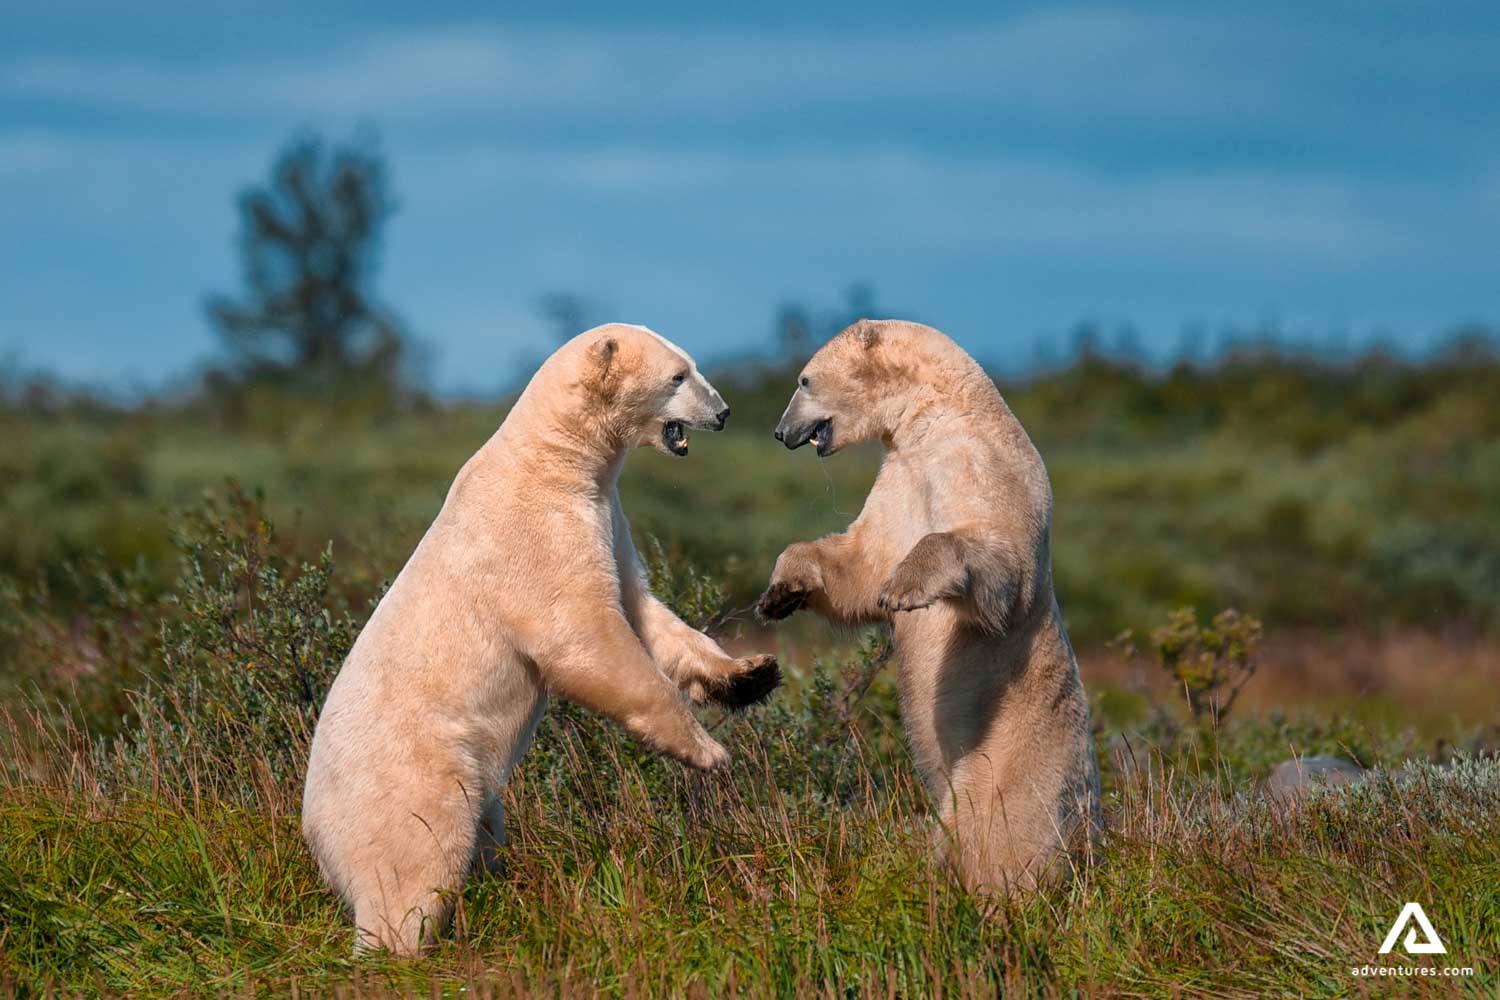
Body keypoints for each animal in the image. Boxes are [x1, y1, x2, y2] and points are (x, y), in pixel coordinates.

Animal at [302, 323, 781, 955]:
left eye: (694, 365)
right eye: (679, 375)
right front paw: (708, 751)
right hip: (413, 773)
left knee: (482, 833)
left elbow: (646, 612)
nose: (723, 412)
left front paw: (752, 674)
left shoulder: (607, 517)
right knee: (413, 864)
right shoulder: (537, 532)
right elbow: (586, 638)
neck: (553, 458)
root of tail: (315, 832)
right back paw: (405, 948)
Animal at [756, 319, 1100, 894]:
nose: (782, 433)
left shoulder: (982, 464)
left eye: (803, 379)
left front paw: (905, 588)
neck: (938, 417)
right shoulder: (901, 475)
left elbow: (997, 560)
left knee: (996, 833)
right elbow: (862, 559)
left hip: (1015, 758)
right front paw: (781, 589)